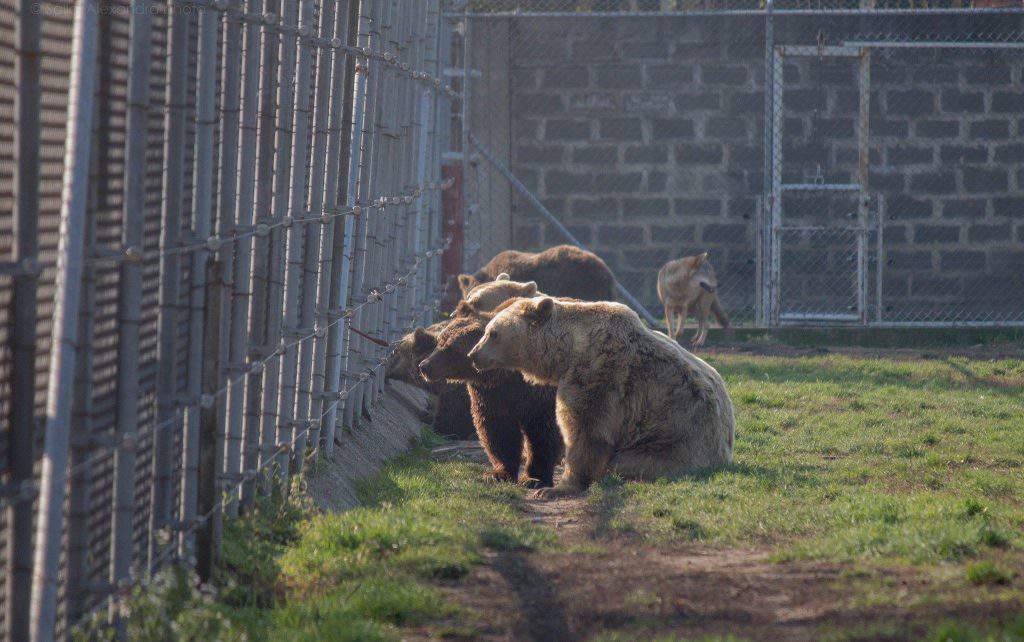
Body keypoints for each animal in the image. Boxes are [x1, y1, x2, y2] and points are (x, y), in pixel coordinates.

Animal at [415, 301, 565, 487]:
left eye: (452, 348)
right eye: (440, 342)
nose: (424, 366)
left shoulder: (538, 397)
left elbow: (543, 433)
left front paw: (535, 478)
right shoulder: (490, 395)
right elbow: (496, 429)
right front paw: (499, 473)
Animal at [468, 298, 733, 499]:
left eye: (492, 333)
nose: (473, 354)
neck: (566, 353)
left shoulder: (597, 375)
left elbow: (585, 431)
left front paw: (555, 488)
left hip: (675, 441)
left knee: (626, 461)